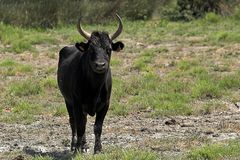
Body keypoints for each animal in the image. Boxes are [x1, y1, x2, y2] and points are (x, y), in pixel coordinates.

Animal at [56, 14, 124, 154]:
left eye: (109, 49)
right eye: (91, 50)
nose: (100, 65)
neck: (95, 88)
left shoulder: (105, 104)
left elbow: (97, 127)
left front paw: (98, 148)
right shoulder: (77, 103)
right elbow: (80, 126)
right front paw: (77, 148)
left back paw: (84, 145)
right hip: (68, 101)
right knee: (73, 122)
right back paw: (74, 145)